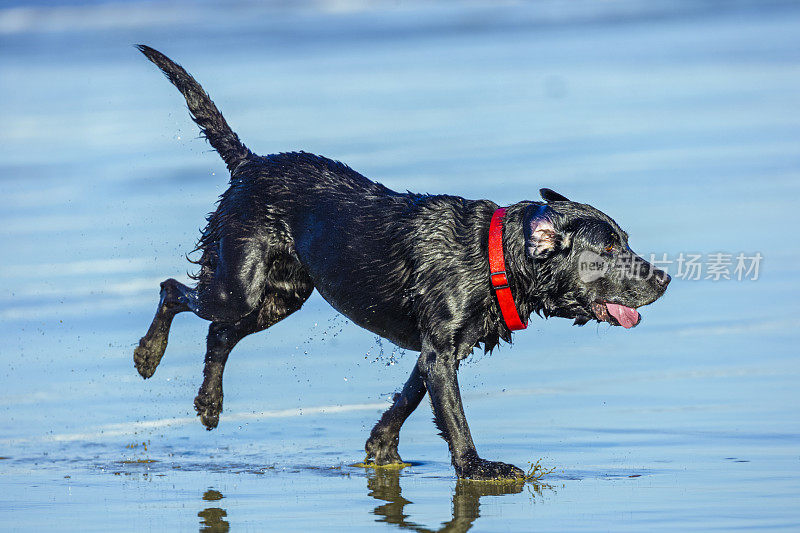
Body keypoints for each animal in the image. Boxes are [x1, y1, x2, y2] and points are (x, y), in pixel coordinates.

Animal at [131, 44, 668, 478]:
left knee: (219, 333)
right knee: (174, 291)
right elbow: (453, 417)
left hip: (281, 297)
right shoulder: (440, 352)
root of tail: (249, 163)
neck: (489, 255)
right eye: (610, 249)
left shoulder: (440, 349)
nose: (663, 277)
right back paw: (147, 356)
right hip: (240, 282)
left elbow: (407, 400)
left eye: (625, 241)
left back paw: (209, 405)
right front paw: (477, 468)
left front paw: (382, 450)